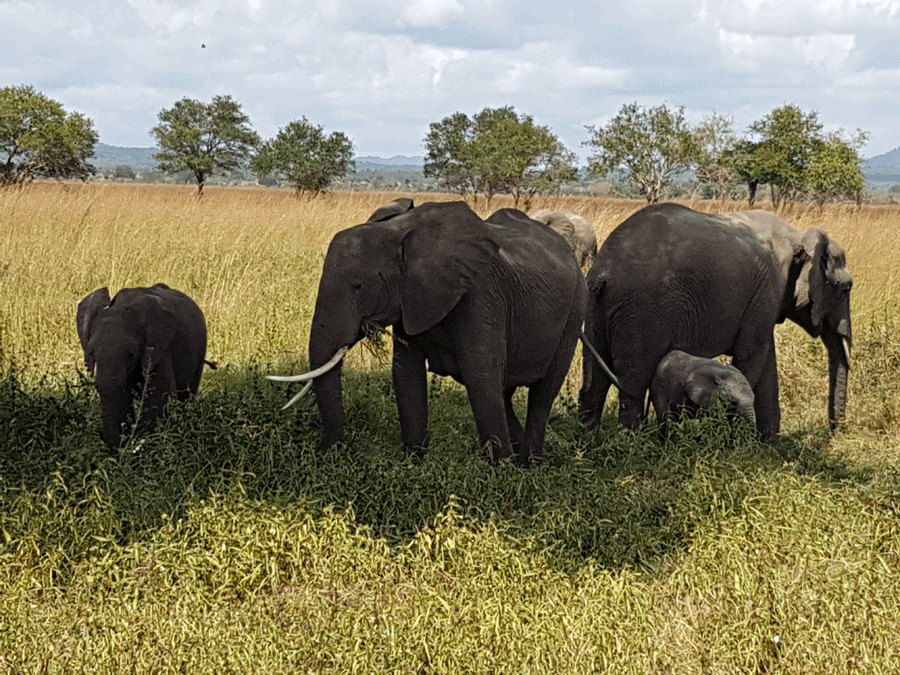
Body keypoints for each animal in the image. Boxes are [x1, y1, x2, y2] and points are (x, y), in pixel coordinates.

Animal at [268, 198, 588, 468]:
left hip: (575, 309)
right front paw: (413, 465)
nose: (333, 452)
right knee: (506, 391)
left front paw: (500, 474)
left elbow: (481, 376)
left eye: (359, 287)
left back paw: (528, 464)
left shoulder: (480, 295)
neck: (401, 233)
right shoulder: (410, 298)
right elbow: (406, 375)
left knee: (543, 391)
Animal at [580, 203, 856, 440]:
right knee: (633, 383)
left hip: (598, 307)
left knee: (594, 379)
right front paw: (740, 443)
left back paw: (588, 441)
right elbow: (751, 359)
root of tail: (603, 270)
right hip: (642, 310)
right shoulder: (768, 290)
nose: (832, 431)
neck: (797, 235)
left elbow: (766, 361)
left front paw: (768, 446)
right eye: (845, 289)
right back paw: (631, 445)